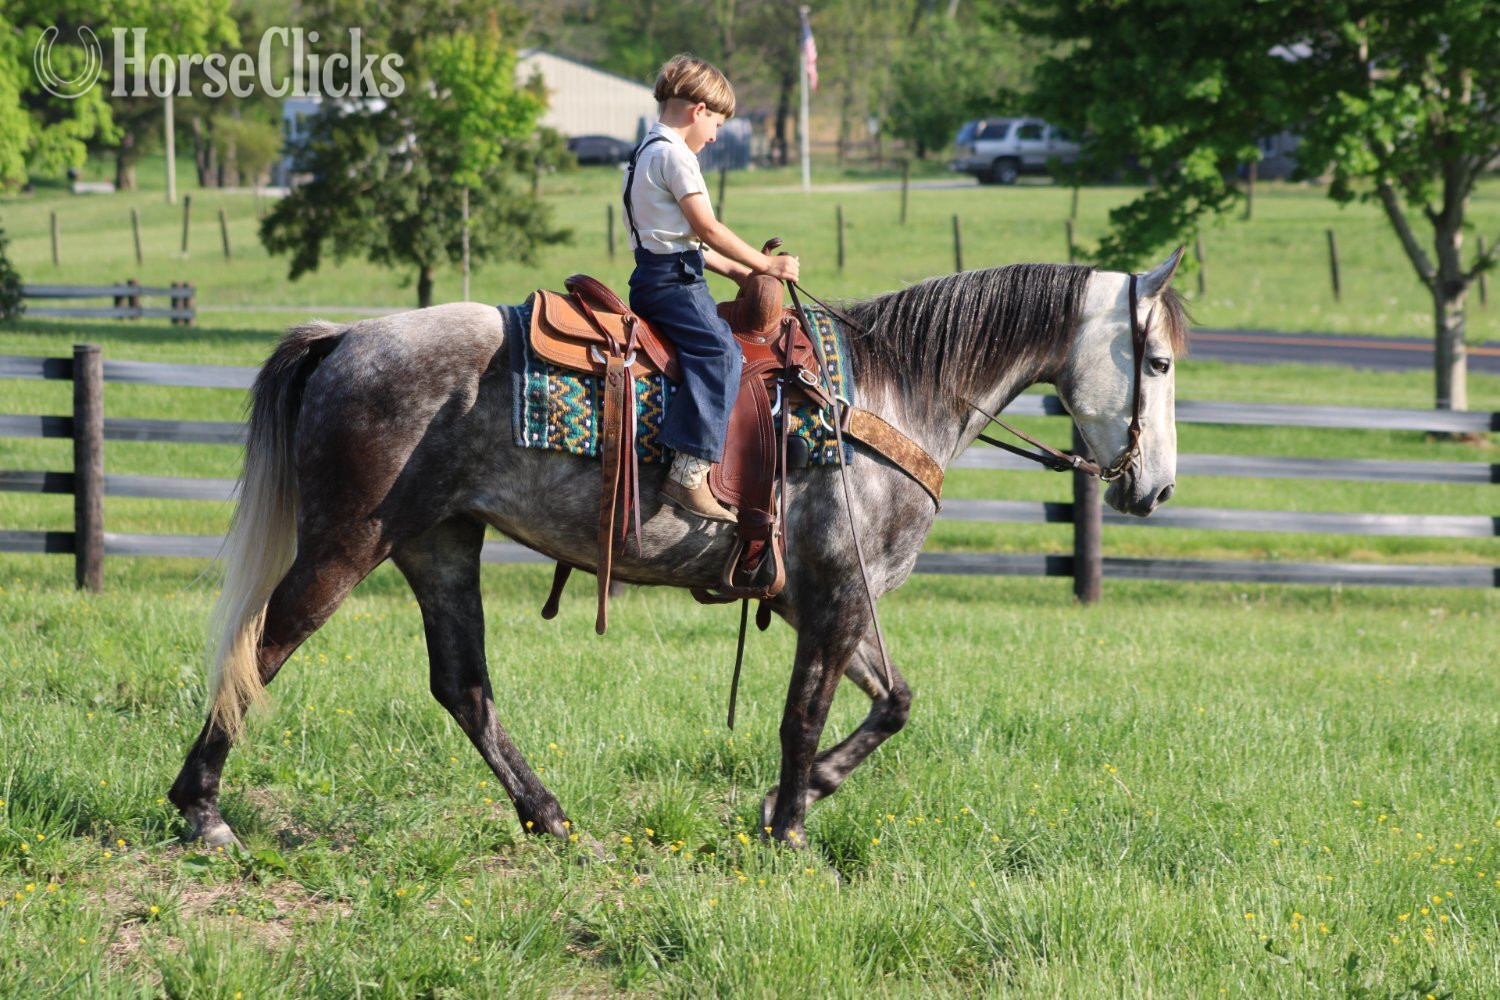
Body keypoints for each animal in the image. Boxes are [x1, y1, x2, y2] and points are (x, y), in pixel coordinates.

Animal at [167, 249, 1189, 851]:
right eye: (1160, 361)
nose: (1156, 488)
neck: (887, 396)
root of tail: (346, 336)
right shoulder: (834, 592)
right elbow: (804, 717)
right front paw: (789, 829)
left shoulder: (827, 600)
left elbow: (893, 703)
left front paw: (794, 802)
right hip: (346, 544)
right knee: (260, 650)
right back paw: (203, 811)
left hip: (439, 546)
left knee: (463, 687)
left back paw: (548, 815)